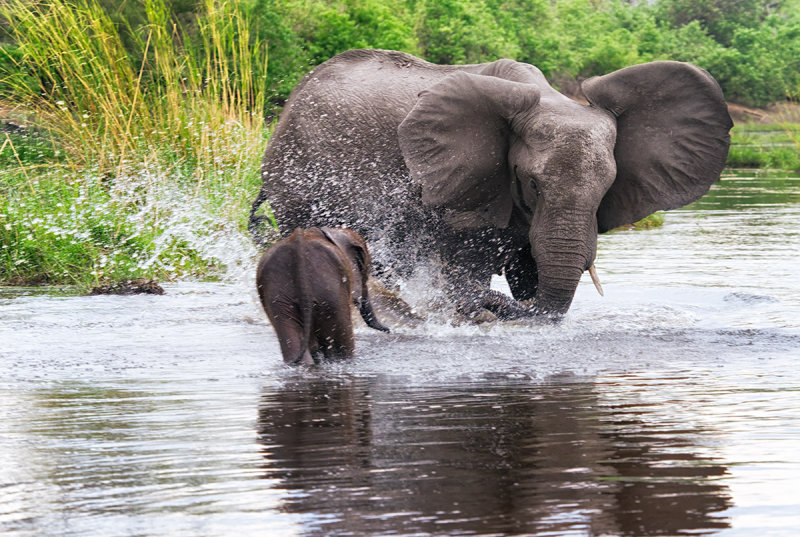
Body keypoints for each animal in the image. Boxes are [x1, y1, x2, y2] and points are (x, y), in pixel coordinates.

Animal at [250, 49, 732, 318]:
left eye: (606, 189)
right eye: (533, 184)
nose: (496, 306)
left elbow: (531, 266)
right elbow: (467, 260)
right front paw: (476, 308)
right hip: (294, 175)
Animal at [256, 226, 390, 364]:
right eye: (365, 273)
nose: (389, 330)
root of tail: (298, 247)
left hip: (278, 294)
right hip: (330, 291)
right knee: (342, 343)